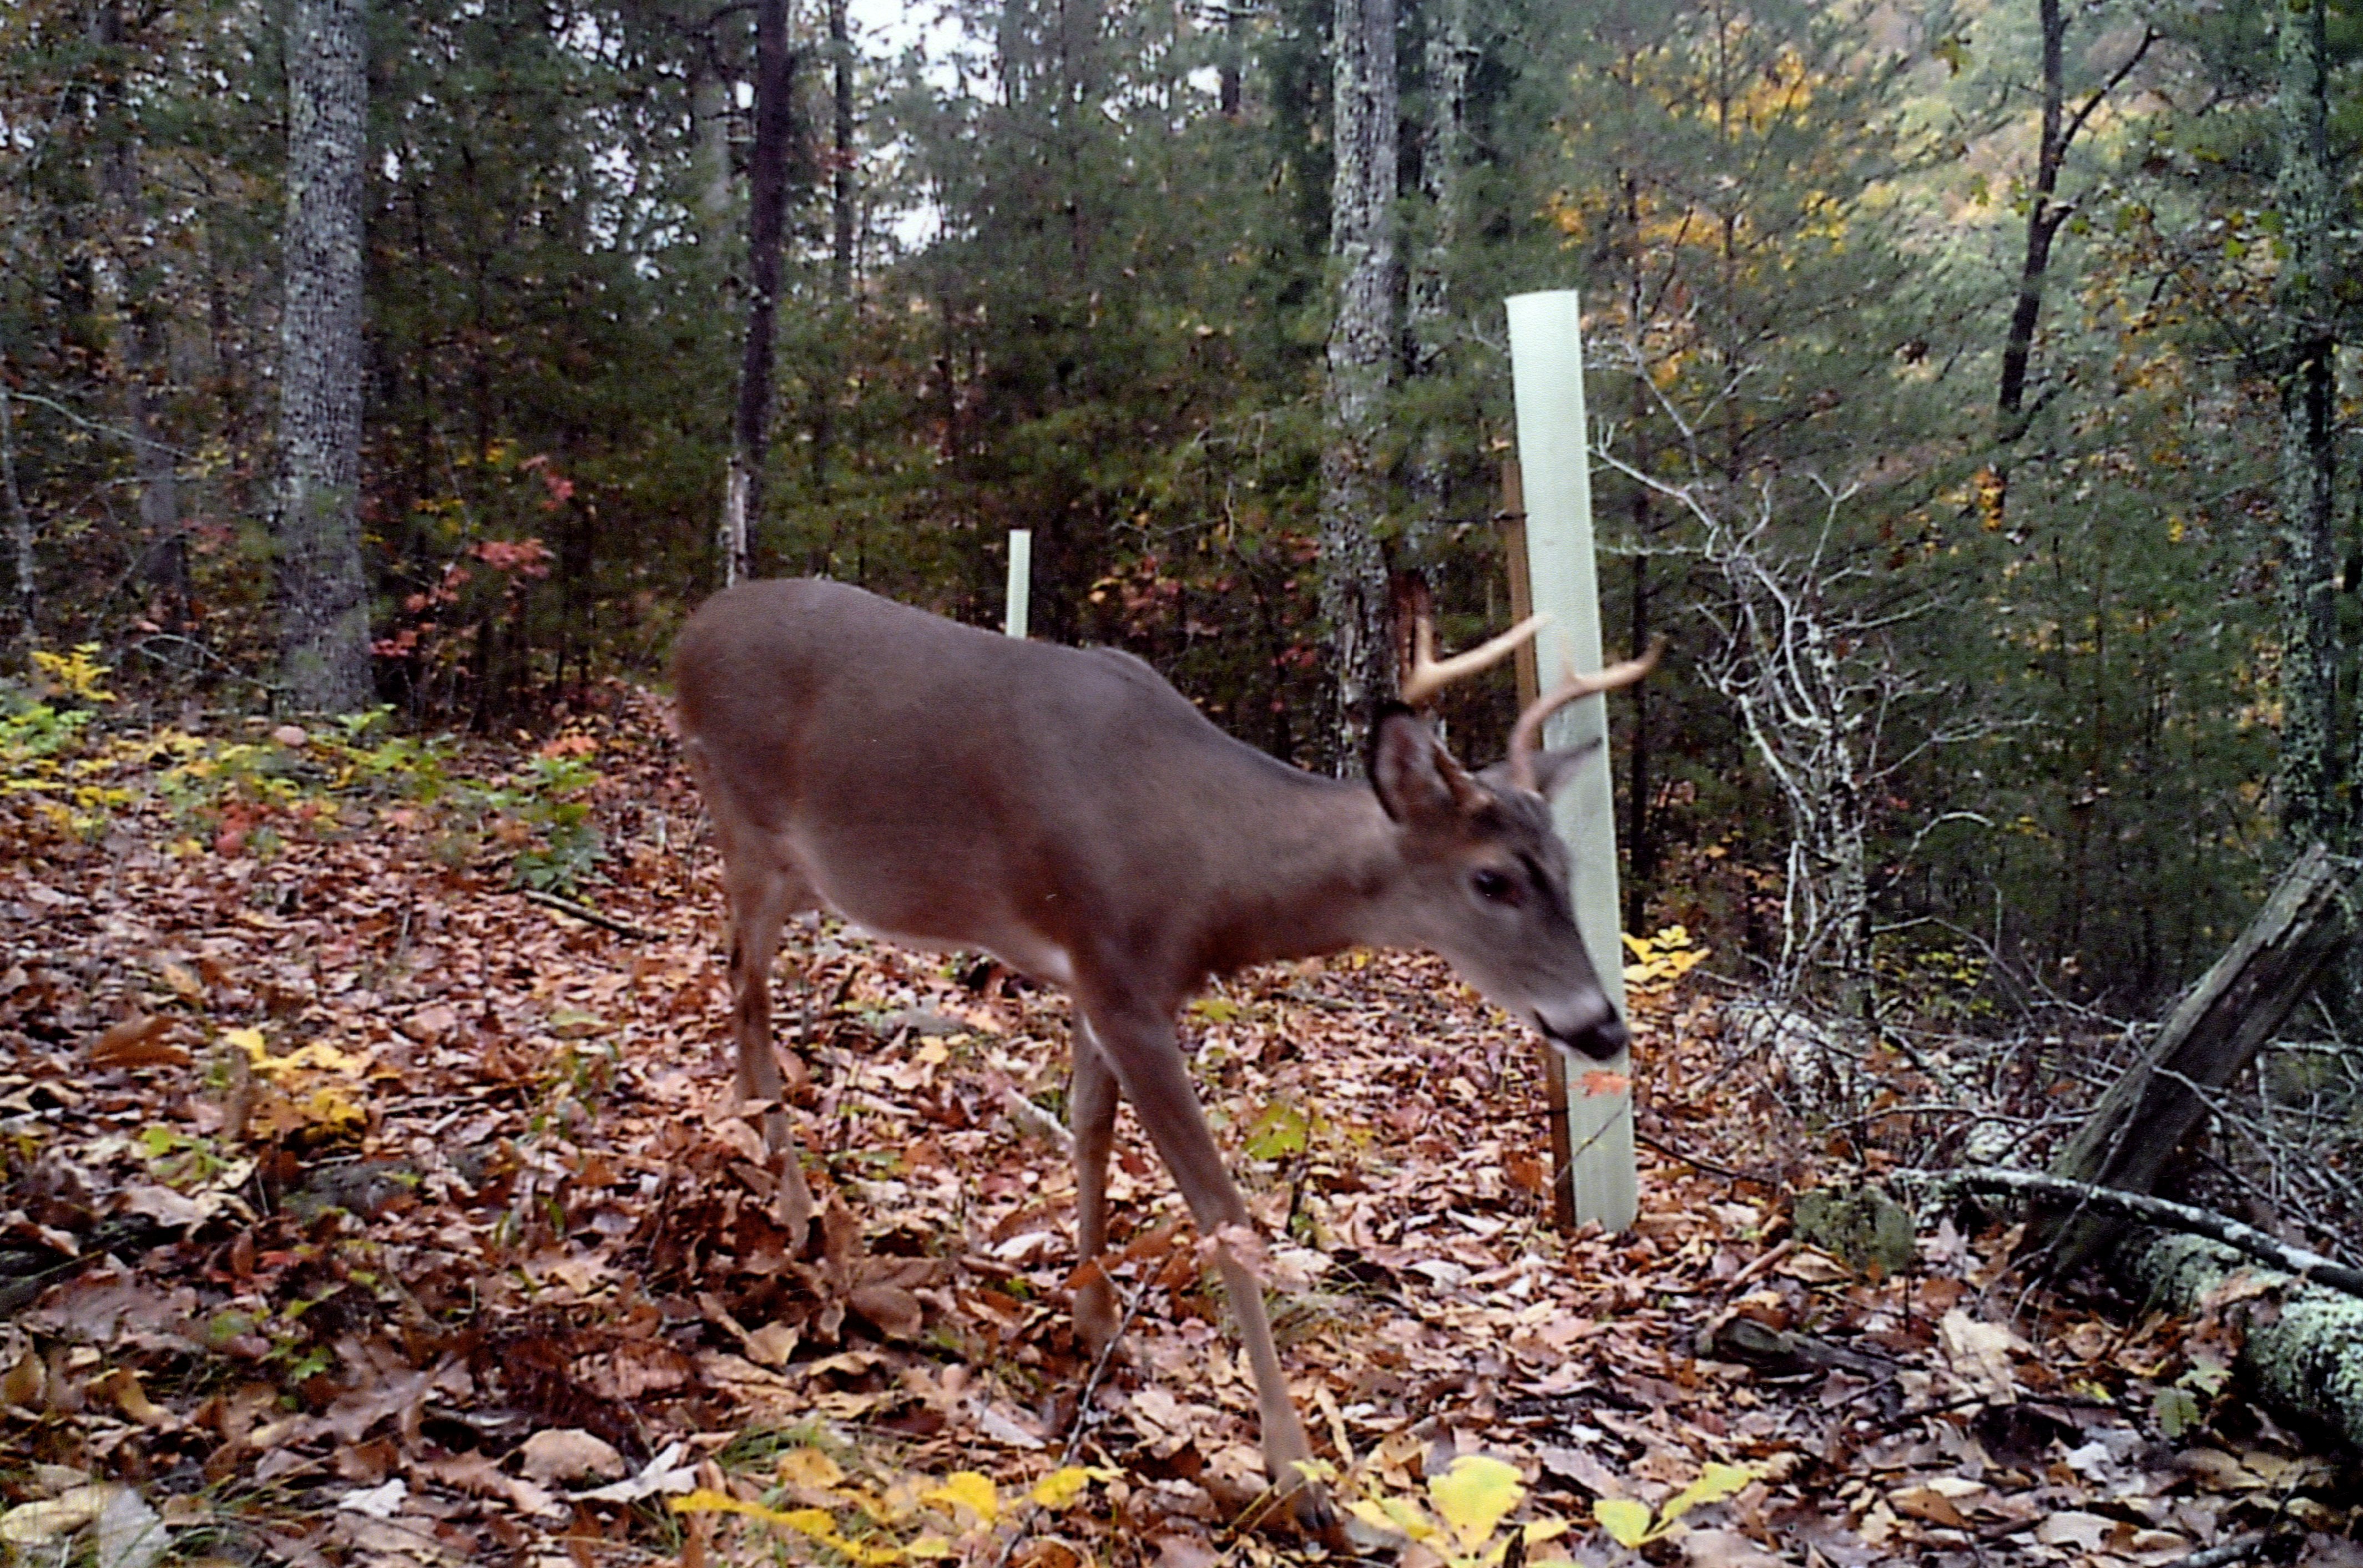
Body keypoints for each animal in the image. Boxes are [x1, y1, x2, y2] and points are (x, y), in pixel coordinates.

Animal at [675, 578, 1654, 1530]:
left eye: (1569, 869)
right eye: (1491, 878)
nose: (1601, 1027)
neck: (1212, 878)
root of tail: (695, 627)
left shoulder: (1096, 974)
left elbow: (1089, 1129)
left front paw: (1092, 1313)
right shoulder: (1119, 976)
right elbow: (1223, 1209)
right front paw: (1298, 1476)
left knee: (738, 984)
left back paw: (757, 1157)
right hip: (751, 829)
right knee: (743, 985)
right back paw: (790, 1201)